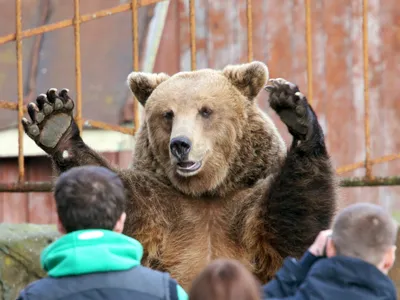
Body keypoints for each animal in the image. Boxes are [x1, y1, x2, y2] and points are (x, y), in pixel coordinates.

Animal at [21, 61, 338, 290]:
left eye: (205, 110)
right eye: (168, 114)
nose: (180, 145)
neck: (207, 191)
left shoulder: (246, 203)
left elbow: (292, 224)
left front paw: (297, 114)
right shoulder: (160, 206)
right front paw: (53, 119)